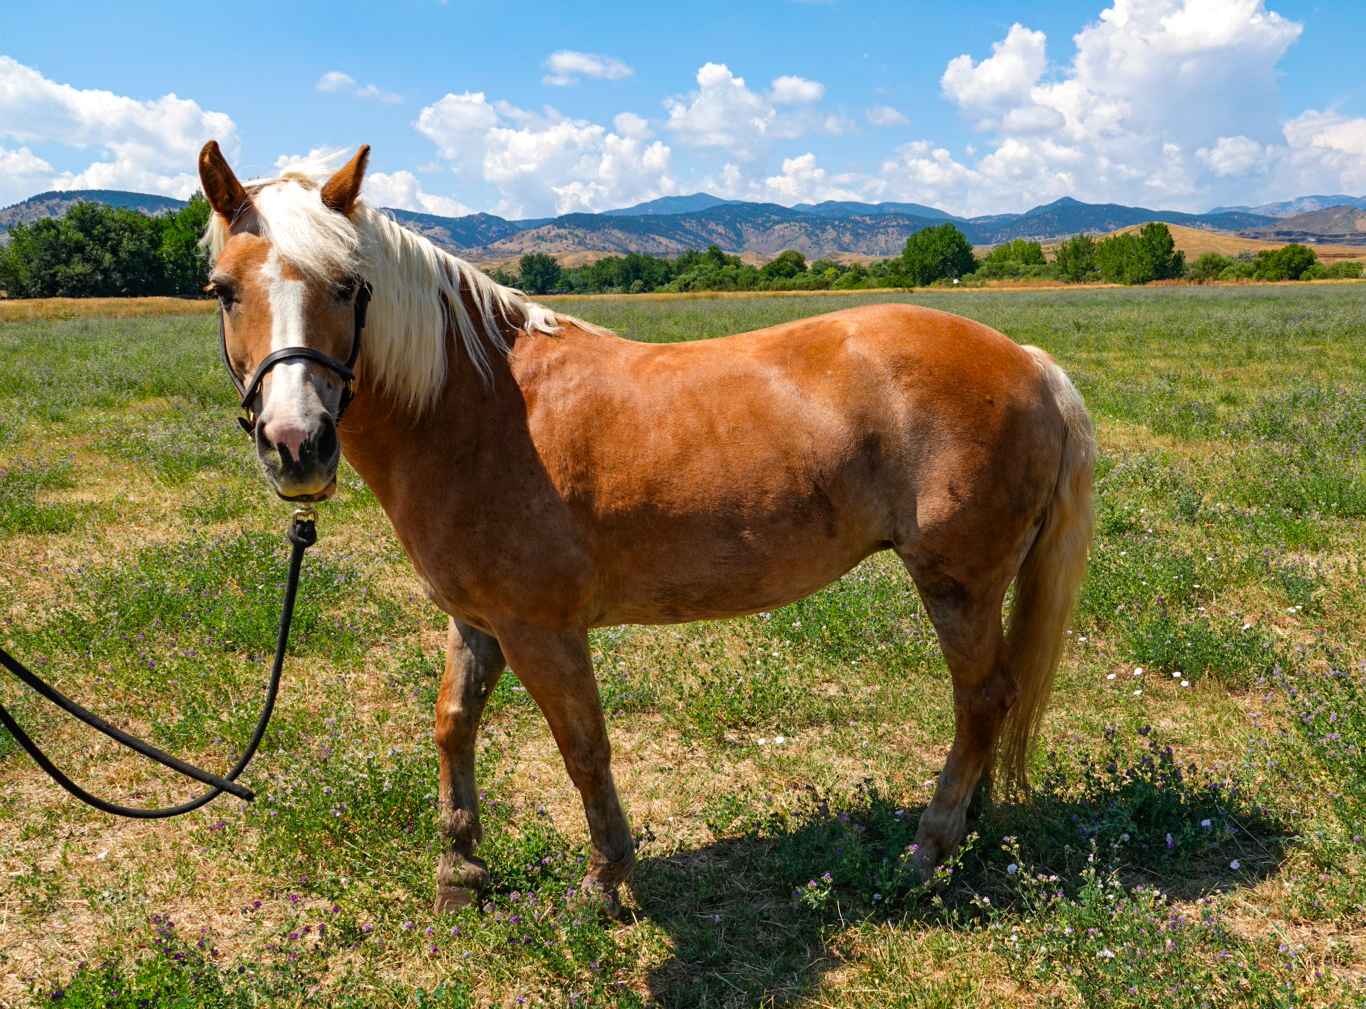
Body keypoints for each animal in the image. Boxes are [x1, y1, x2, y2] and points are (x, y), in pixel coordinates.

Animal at [197, 141, 1094, 916]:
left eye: (349, 285)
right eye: (222, 289)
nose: (296, 444)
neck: (473, 407)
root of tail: (1028, 360)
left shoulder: (541, 628)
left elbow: (582, 747)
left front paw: (605, 878)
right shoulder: (476, 618)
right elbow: (452, 724)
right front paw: (461, 867)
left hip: (957, 583)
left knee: (983, 698)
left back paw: (927, 849)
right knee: (990, 703)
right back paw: (967, 824)